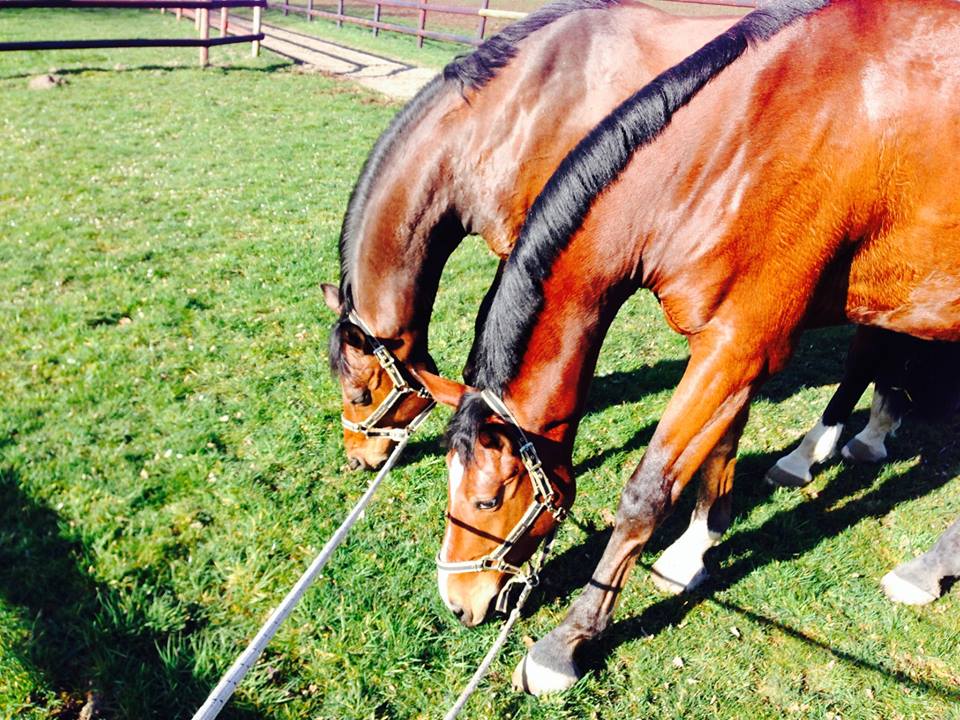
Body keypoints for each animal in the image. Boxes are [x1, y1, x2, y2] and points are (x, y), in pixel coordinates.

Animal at [416, 0, 960, 696]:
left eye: (488, 498)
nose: (457, 603)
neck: (747, 145)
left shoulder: (736, 348)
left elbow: (646, 494)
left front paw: (566, 644)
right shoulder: (733, 347)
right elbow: (719, 450)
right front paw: (692, 553)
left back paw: (923, 566)